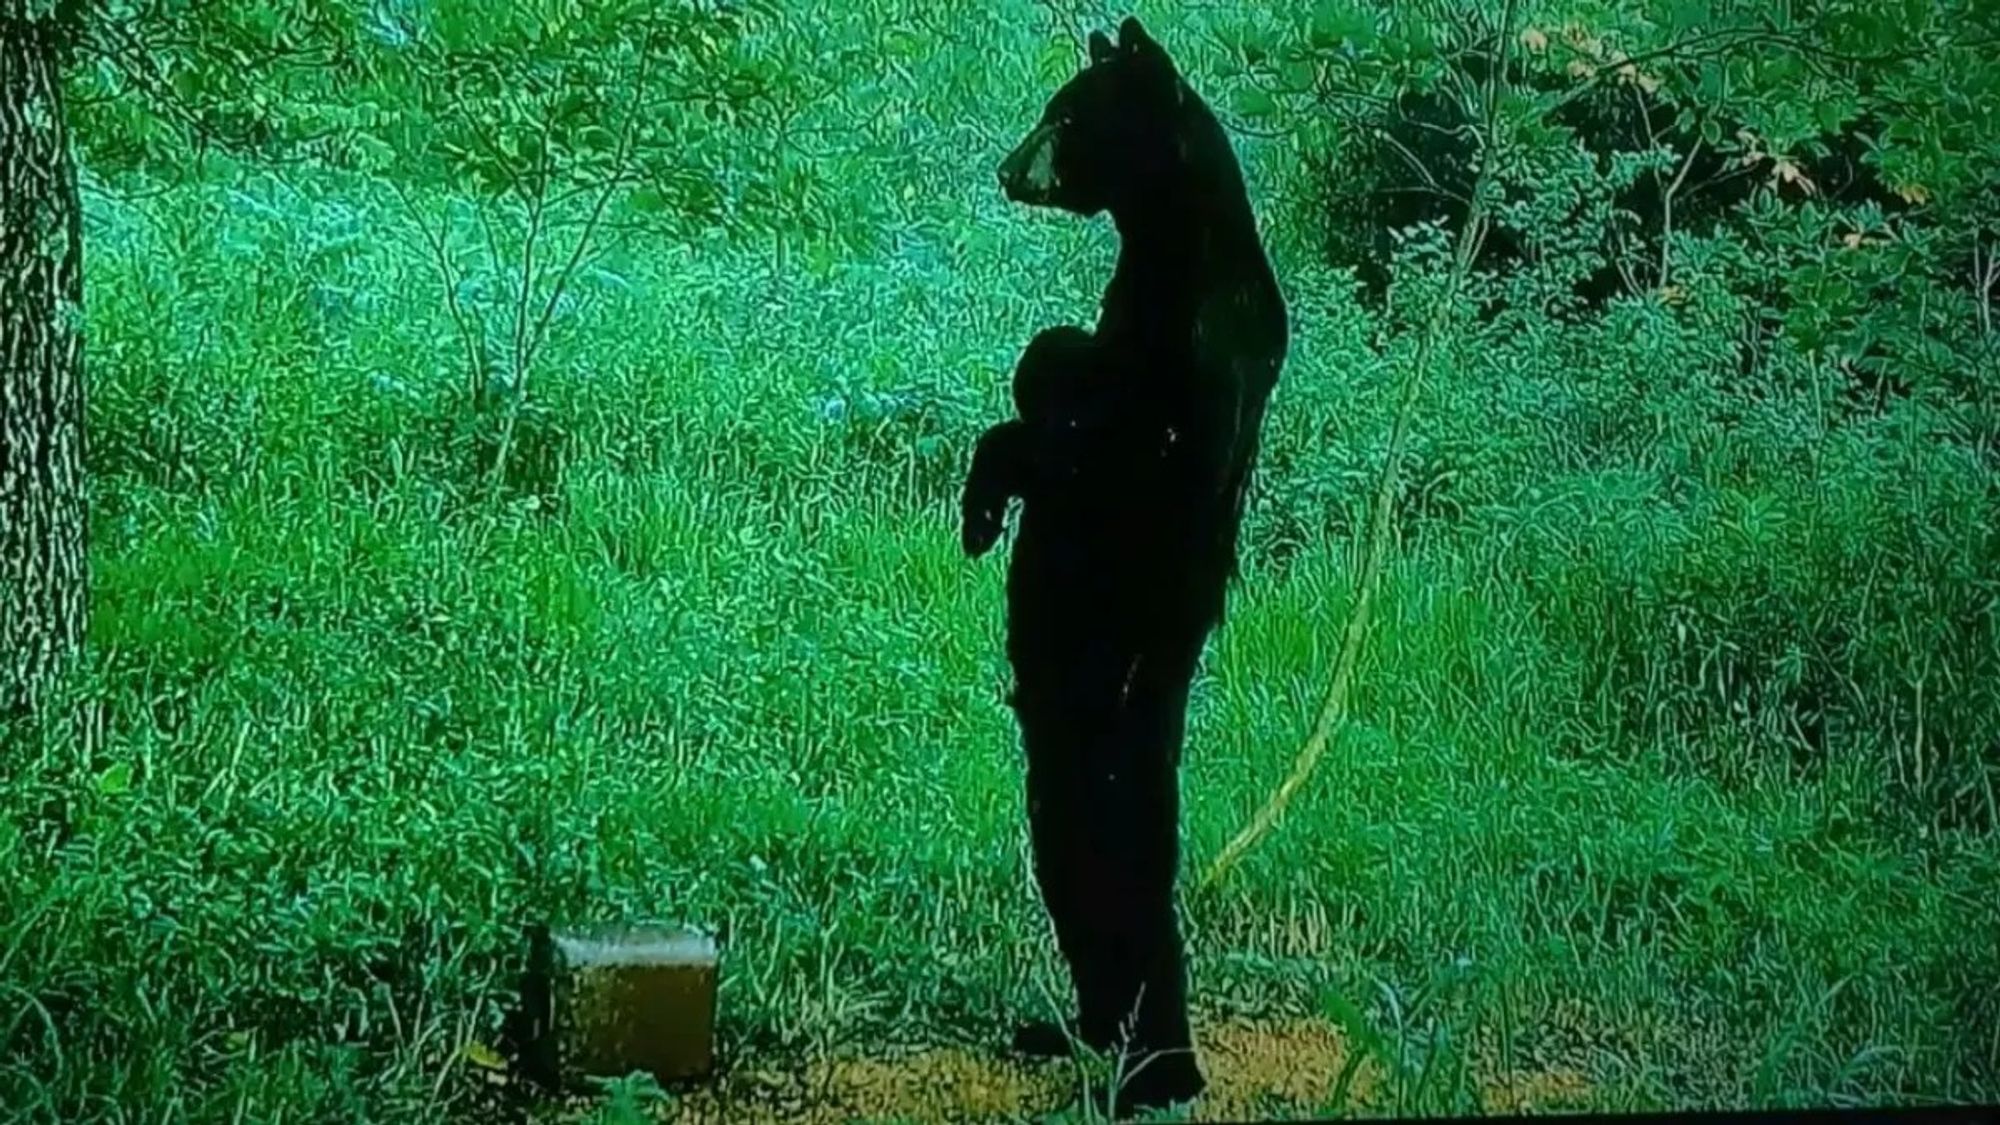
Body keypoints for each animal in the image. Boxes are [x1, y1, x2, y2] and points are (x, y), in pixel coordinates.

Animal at [964, 10, 1288, 1112]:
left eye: (1065, 115)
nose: (1007, 169)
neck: (1168, 241)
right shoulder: (1128, 310)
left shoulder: (1191, 371)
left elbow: (1080, 440)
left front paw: (989, 488)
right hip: (1051, 756)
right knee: (1067, 856)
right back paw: (1074, 1029)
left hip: (1114, 714)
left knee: (1128, 864)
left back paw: (1155, 1069)